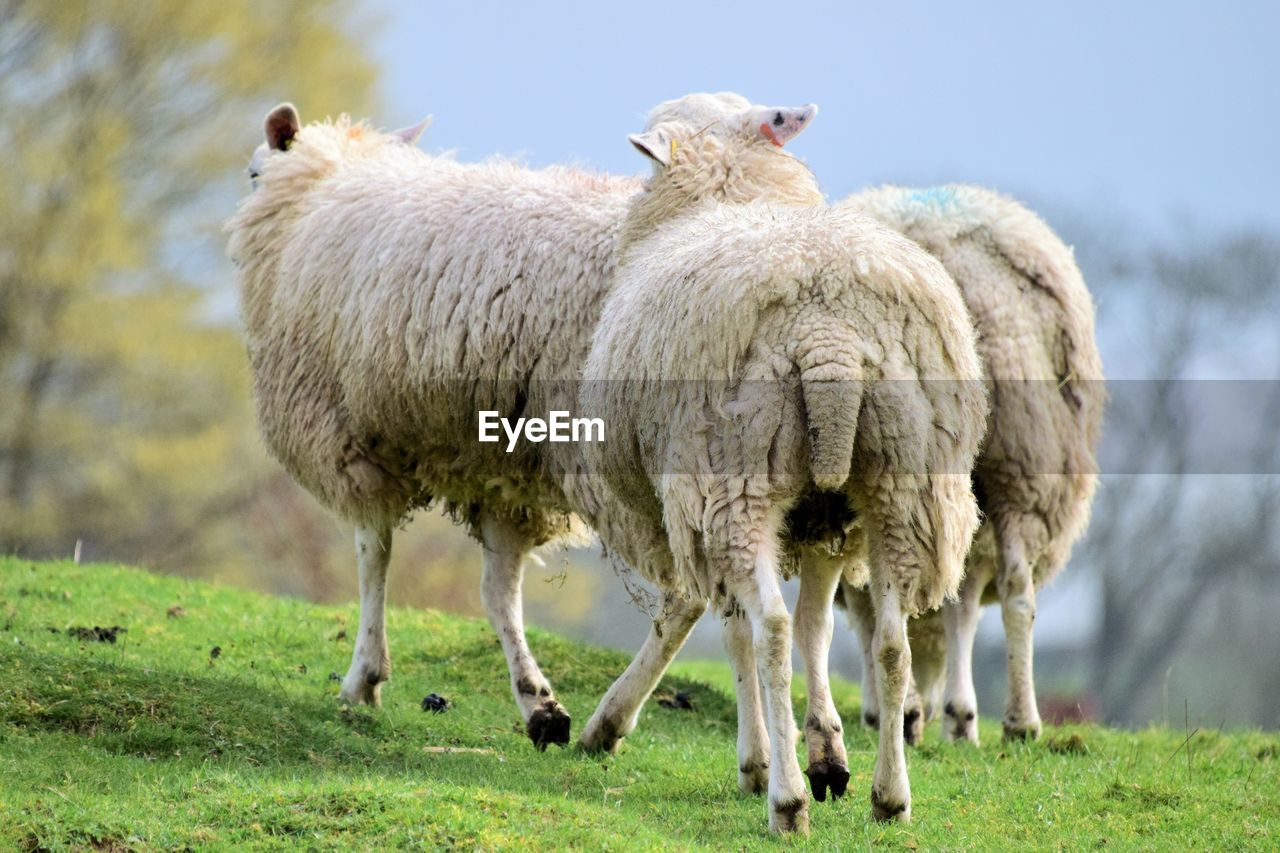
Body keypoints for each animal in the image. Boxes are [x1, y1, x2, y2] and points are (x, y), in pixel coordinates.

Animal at [581, 116, 988, 824]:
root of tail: (829, 332)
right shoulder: (825, 521)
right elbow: (816, 628)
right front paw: (828, 754)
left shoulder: (710, 506)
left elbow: (738, 631)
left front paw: (761, 760)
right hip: (901, 482)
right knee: (890, 641)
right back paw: (890, 797)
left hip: (737, 473)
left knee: (769, 626)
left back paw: (786, 800)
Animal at [834, 183, 1105, 742]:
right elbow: (958, 607)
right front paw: (957, 715)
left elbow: (885, 606)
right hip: (1021, 461)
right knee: (1019, 590)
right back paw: (1019, 721)